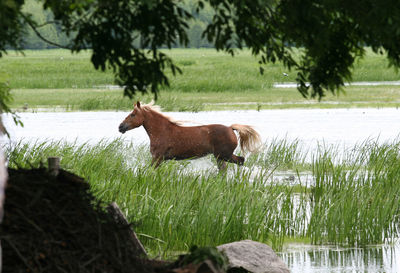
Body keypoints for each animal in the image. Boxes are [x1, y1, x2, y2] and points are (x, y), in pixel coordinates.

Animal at [118, 101, 262, 169]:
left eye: (133, 114)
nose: (120, 127)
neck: (162, 131)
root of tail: (231, 128)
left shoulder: (157, 157)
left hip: (224, 155)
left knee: (241, 161)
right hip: (220, 157)